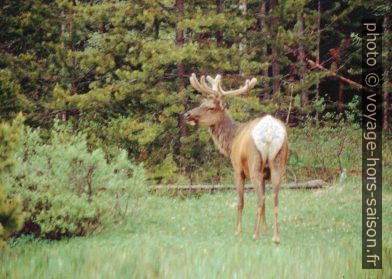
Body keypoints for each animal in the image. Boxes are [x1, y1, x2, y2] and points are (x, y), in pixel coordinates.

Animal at [184, 73, 288, 244]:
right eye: (202, 102)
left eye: (210, 107)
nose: (187, 114)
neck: (232, 141)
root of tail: (269, 131)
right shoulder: (265, 175)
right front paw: (266, 229)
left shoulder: (237, 169)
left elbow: (240, 201)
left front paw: (238, 231)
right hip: (278, 163)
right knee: (274, 198)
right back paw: (276, 236)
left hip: (254, 163)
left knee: (259, 199)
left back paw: (254, 234)